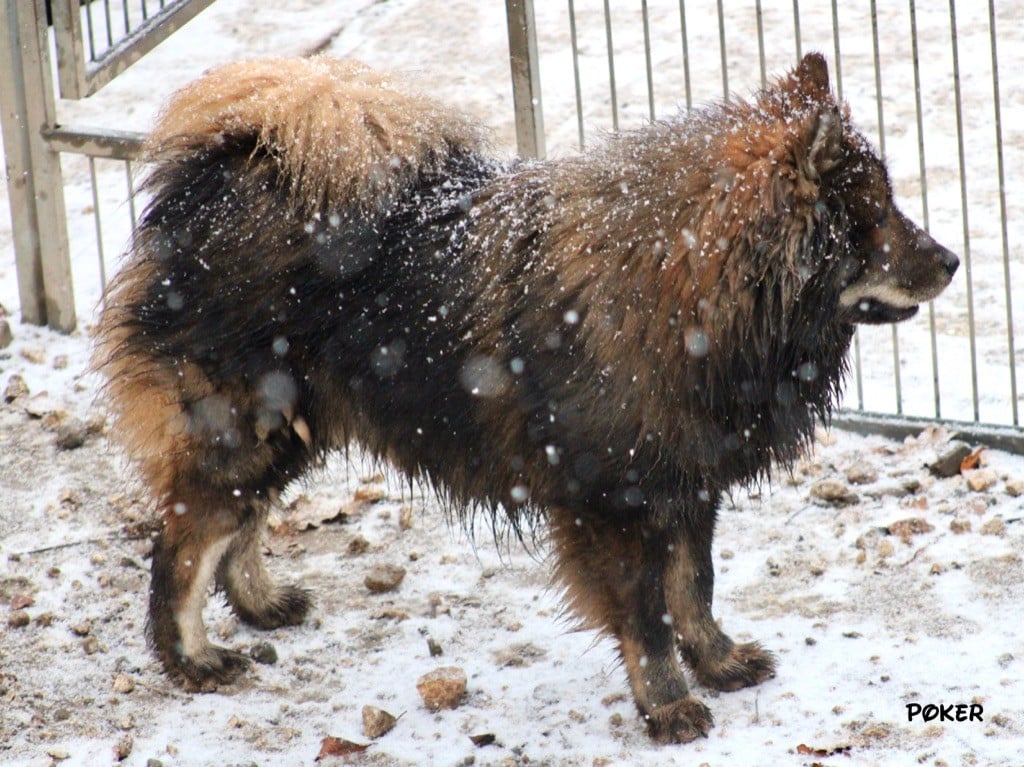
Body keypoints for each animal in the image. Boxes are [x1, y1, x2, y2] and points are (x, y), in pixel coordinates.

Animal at [92, 52, 954, 741]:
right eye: (874, 218)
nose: (947, 260)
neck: (688, 289)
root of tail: (224, 172)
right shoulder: (617, 503)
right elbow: (648, 616)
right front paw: (668, 702)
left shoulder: (686, 483)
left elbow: (695, 587)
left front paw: (717, 658)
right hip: (245, 430)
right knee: (182, 547)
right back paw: (193, 657)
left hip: (292, 428)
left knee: (239, 528)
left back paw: (261, 602)